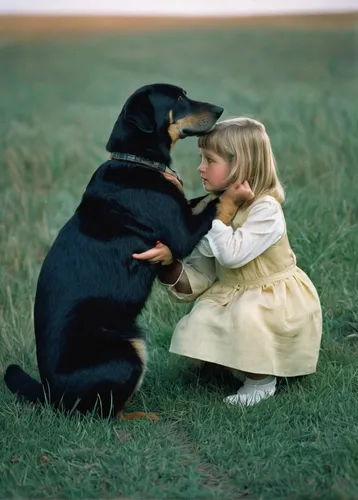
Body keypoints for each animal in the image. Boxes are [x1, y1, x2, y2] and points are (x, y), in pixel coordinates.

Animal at [4, 84, 224, 420]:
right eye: (178, 98)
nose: (221, 110)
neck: (136, 160)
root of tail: (50, 394)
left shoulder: (185, 212)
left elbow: (200, 198)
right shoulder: (183, 234)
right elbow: (214, 200)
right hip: (127, 354)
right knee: (102, 413)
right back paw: (142, 416)